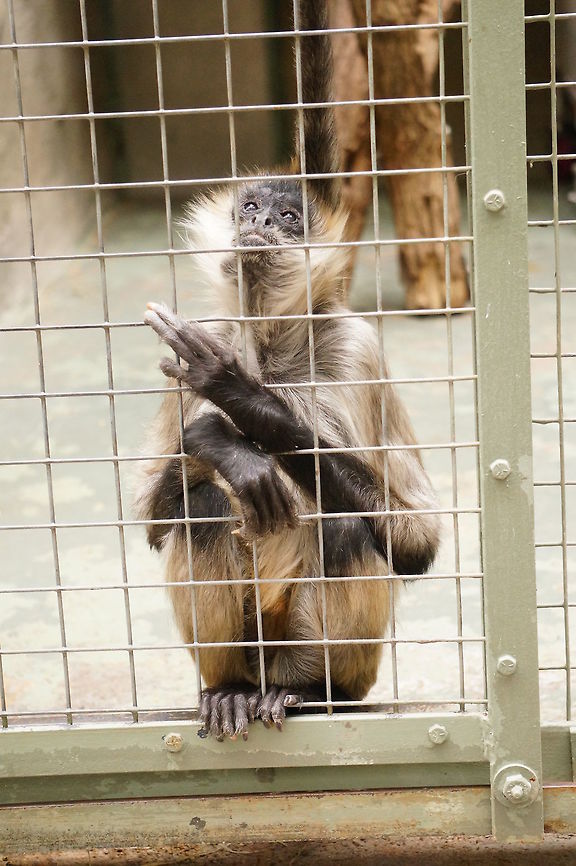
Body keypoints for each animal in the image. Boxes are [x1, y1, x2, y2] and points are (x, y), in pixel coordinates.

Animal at [136, 0, 440, 741]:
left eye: (289, 215)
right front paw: (227, 444)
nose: (262, 226)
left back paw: (306, 689)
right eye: (250, 208)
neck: (274, 349)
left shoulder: (355, 347)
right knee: (204, 506)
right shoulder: (209, 334)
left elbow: (417, 541)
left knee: (344, 523)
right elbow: (155, 522)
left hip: (346, 663)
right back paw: (233, 690)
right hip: (247, 642)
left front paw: (245, 408)